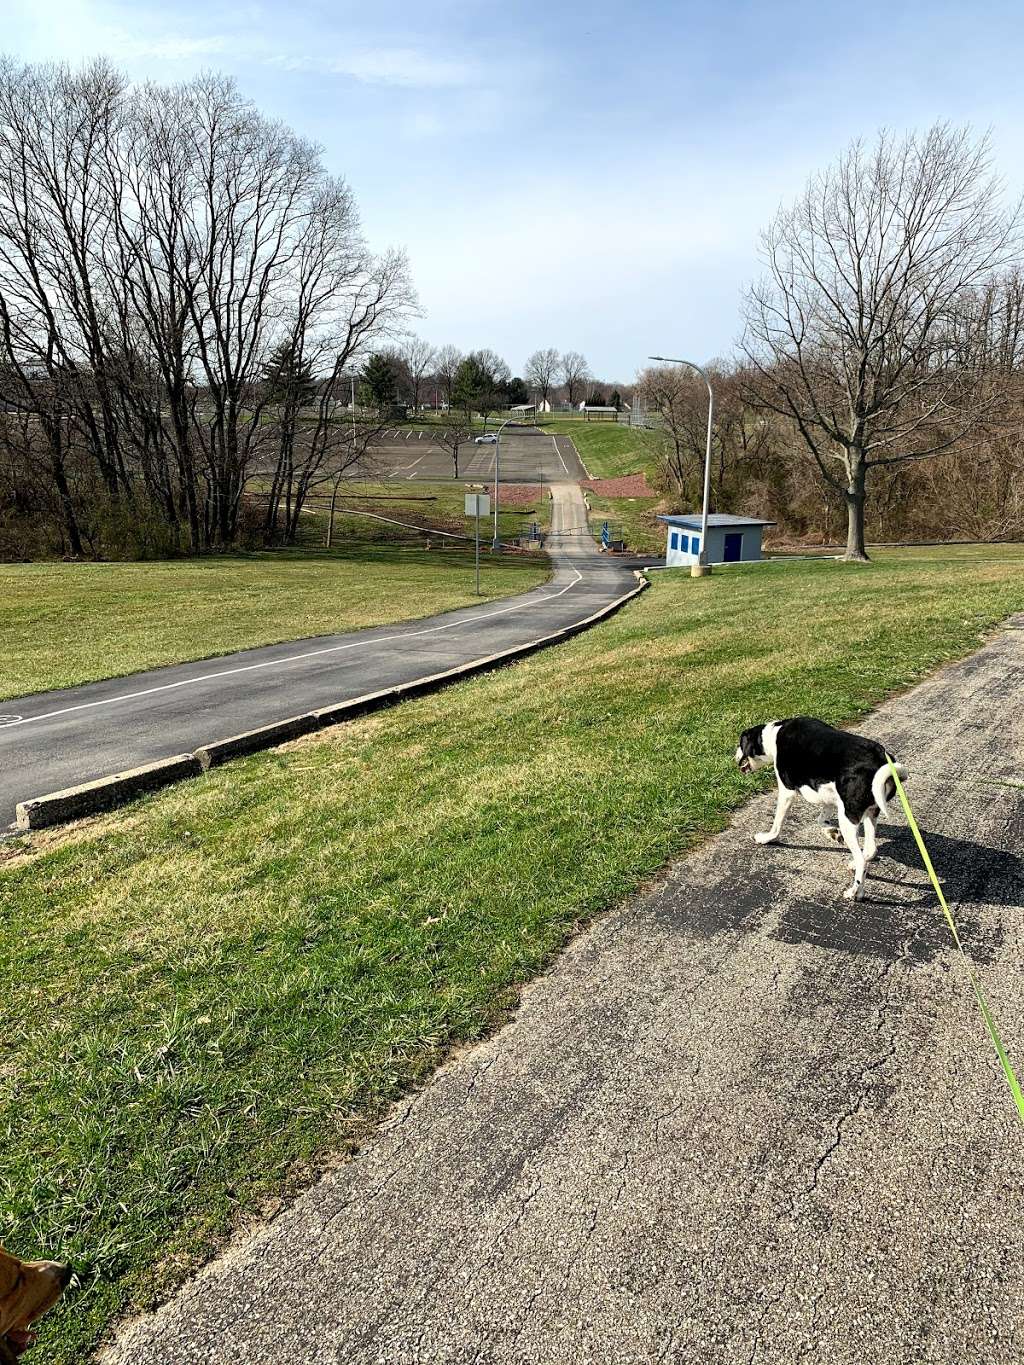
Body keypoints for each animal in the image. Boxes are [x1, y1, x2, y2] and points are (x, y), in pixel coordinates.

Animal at [731, 720, 912, 900]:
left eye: (739, 744)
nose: (734, 757)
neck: (773, 734)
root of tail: (883, 761)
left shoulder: (787, 792)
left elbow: (777, 823)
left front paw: (767, 838)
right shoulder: (829, 795)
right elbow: (821, 820)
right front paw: (832, 833)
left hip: (848, 817)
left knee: (862, 861)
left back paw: (855, 892)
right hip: (869, 813)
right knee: (870, 850)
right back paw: (854, 864)